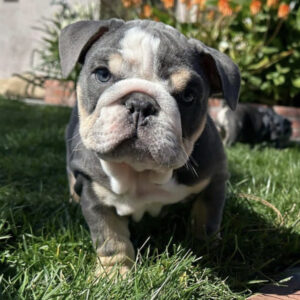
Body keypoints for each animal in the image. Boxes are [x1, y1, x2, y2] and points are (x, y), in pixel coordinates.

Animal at [58, 19, 240, 276]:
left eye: (188, 95)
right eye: (102, 74)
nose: (140, 103)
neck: (140, 172)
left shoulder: (214, 178)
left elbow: (206, 220)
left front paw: (207, 253)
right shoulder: (94, 192)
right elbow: (111, 238)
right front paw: (114, 275)